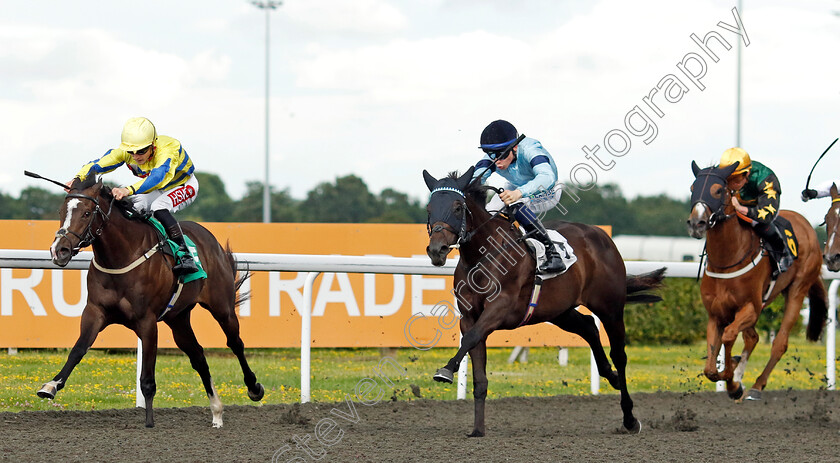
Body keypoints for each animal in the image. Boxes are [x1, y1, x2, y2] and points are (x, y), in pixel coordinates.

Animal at [42, 177, 264, 428]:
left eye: (87, 213)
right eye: (62, 211)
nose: (59, 250)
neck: (121, 257)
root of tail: (210, 239)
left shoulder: (147, 321)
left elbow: (147, 378)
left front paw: (149, 421)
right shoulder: (95, 312)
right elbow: (78, 349)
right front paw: (51, 385)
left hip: (222, 307)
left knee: (235, 343)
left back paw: (254, 388)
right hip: (178, 318)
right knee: (198, 356)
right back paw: (216, 411)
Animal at [424, 169, 668, 436]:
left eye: (458, 207)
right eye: (429, 208)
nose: (437, 250)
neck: (484, 255)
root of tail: (602, 235)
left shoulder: (500, 308)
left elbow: (470, 339)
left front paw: (446, 370)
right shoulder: (470, 317)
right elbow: (478, 368)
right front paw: (478, 430)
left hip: (610, 307)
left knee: (619, 355)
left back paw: (630, 418)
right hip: (559, 310)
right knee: (588, 327)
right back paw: (609, 376)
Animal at [688, 161, 828, 400]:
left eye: (718, 190)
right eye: (692, 188)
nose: (696, 223)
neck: (727, 260)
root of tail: (806, 224)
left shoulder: (750, 308)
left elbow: (729, 336)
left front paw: (732, 381)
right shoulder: (716, 313)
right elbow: (710, 368)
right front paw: (732, 376)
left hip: (797, 289)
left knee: (779, 343)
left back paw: (757, 385)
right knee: (752, 337)